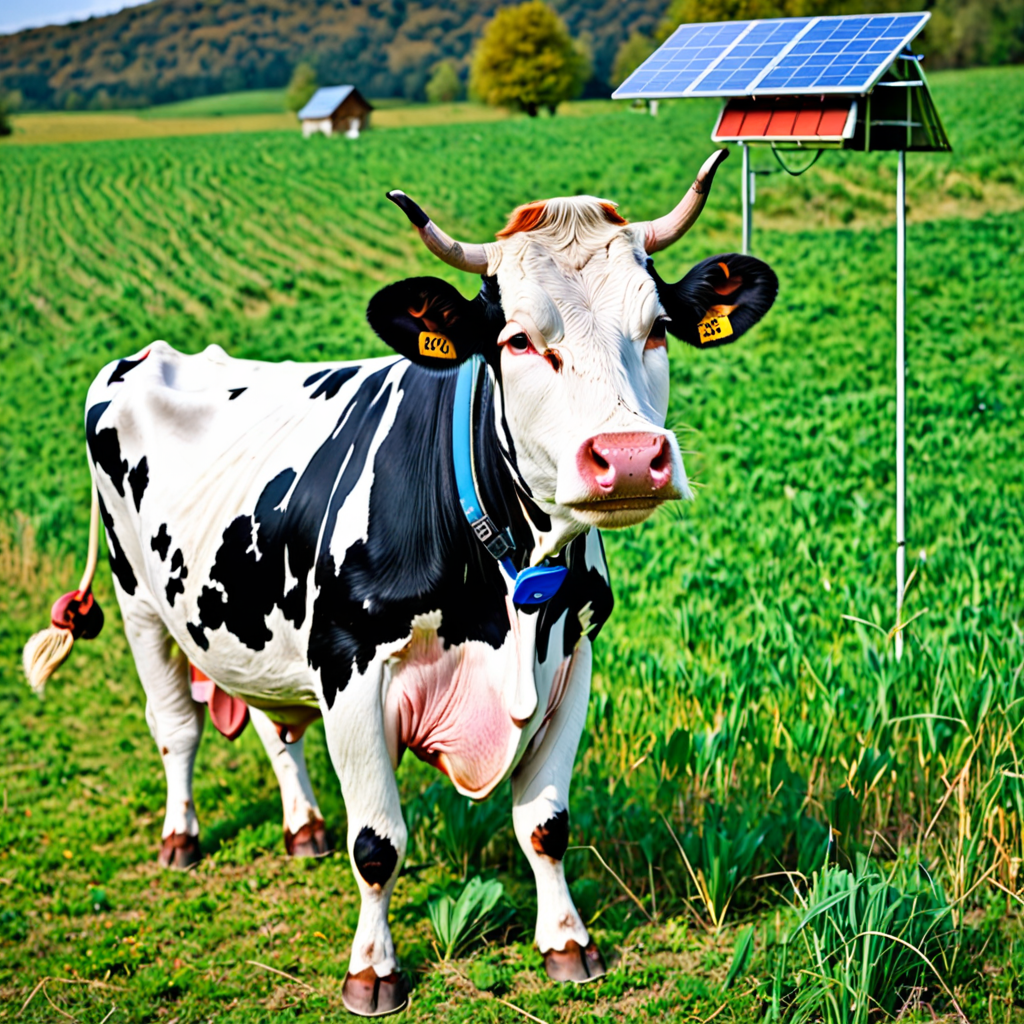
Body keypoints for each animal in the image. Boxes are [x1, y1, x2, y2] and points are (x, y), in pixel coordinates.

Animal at [25, 149, 777, 1016]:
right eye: (518, 341)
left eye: (656, 329)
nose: (626, 458)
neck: (505, 592)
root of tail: (150, 353)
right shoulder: (348, 663)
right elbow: (379, 843)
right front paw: (372, 970)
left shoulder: (575, 655)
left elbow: (545, 824)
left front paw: (567, 942)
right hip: (138, 599)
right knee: (175, 725)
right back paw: (181, 836)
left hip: (252, 619)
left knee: (275, 727)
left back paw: (303, 828)